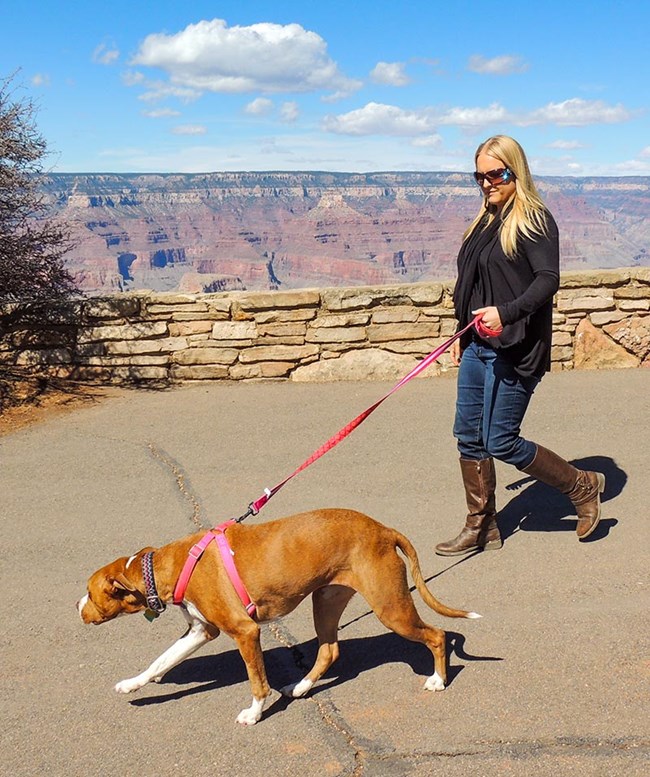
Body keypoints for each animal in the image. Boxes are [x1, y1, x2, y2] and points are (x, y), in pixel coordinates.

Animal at [78, 510, 478, 720]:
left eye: (90, 592)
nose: (76, 608)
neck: (171, 563)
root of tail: (382, 528)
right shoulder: (200, 631)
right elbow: (160, 661)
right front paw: (133, 684)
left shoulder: (245, 631)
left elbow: (258, 682)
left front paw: (254, 713)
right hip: (326, 601)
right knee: (329, 650)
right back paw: (300, 687)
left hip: (390, 608)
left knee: (437, 635)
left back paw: (438, 680)